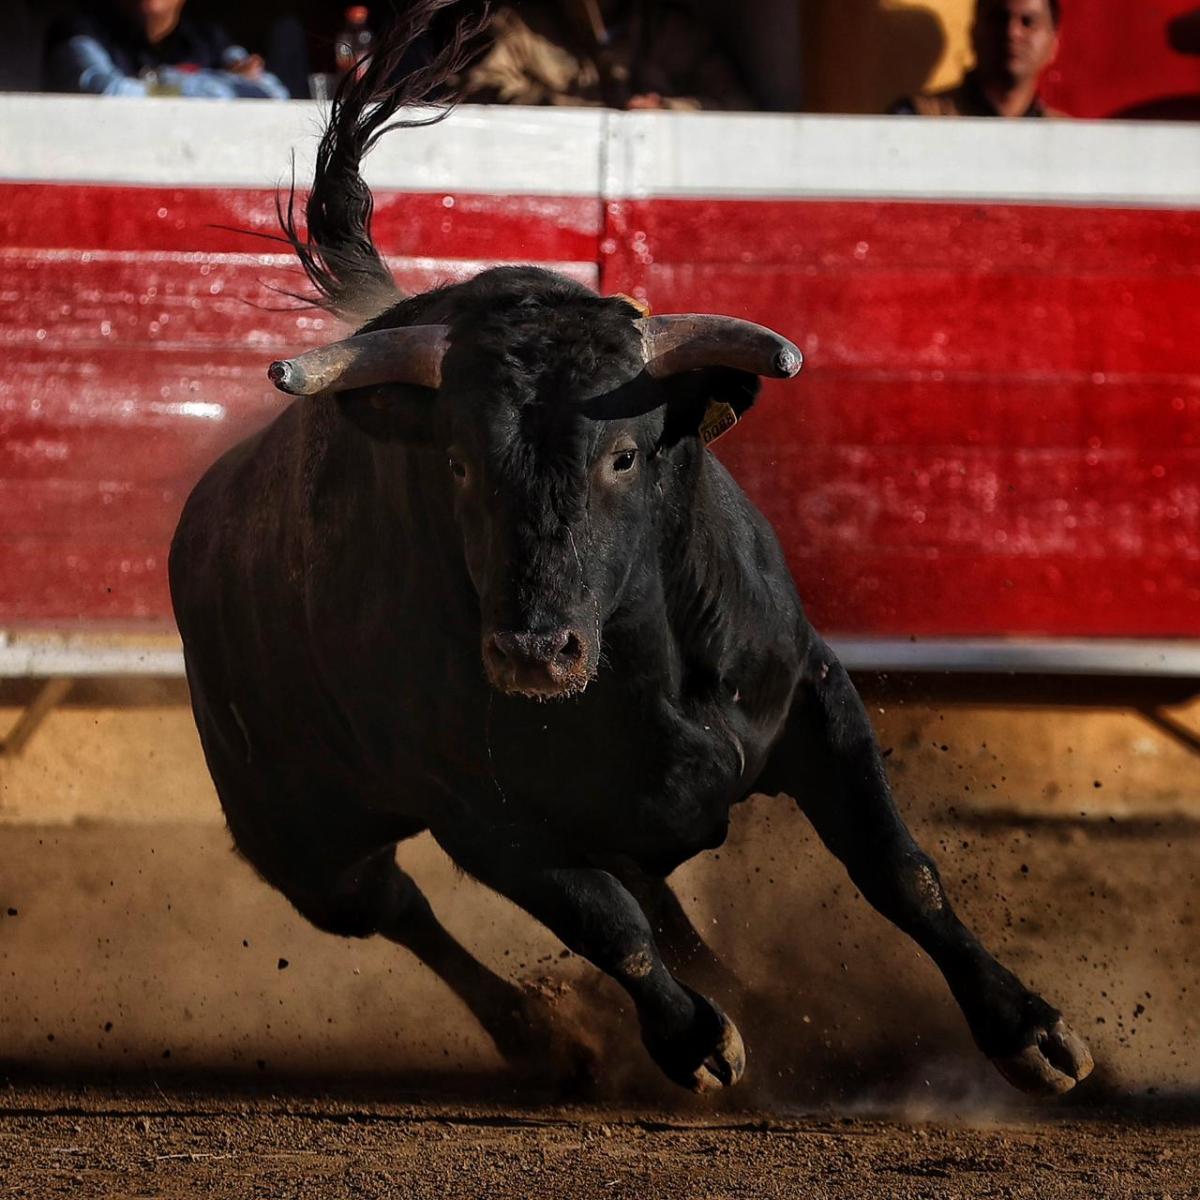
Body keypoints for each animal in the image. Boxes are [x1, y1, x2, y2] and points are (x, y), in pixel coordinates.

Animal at [169, 4, 1099, 1099]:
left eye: (624, 454)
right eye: (456, 464)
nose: (534, 655)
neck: (645, 665)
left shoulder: (815, 695)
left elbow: (898, 869)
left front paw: (1028, 1030)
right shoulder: (479, 814)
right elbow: (604, 926)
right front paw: (694, 1041)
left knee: (644, 895)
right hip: (303, 842)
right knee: (404, 910)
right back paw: (544, 1035)